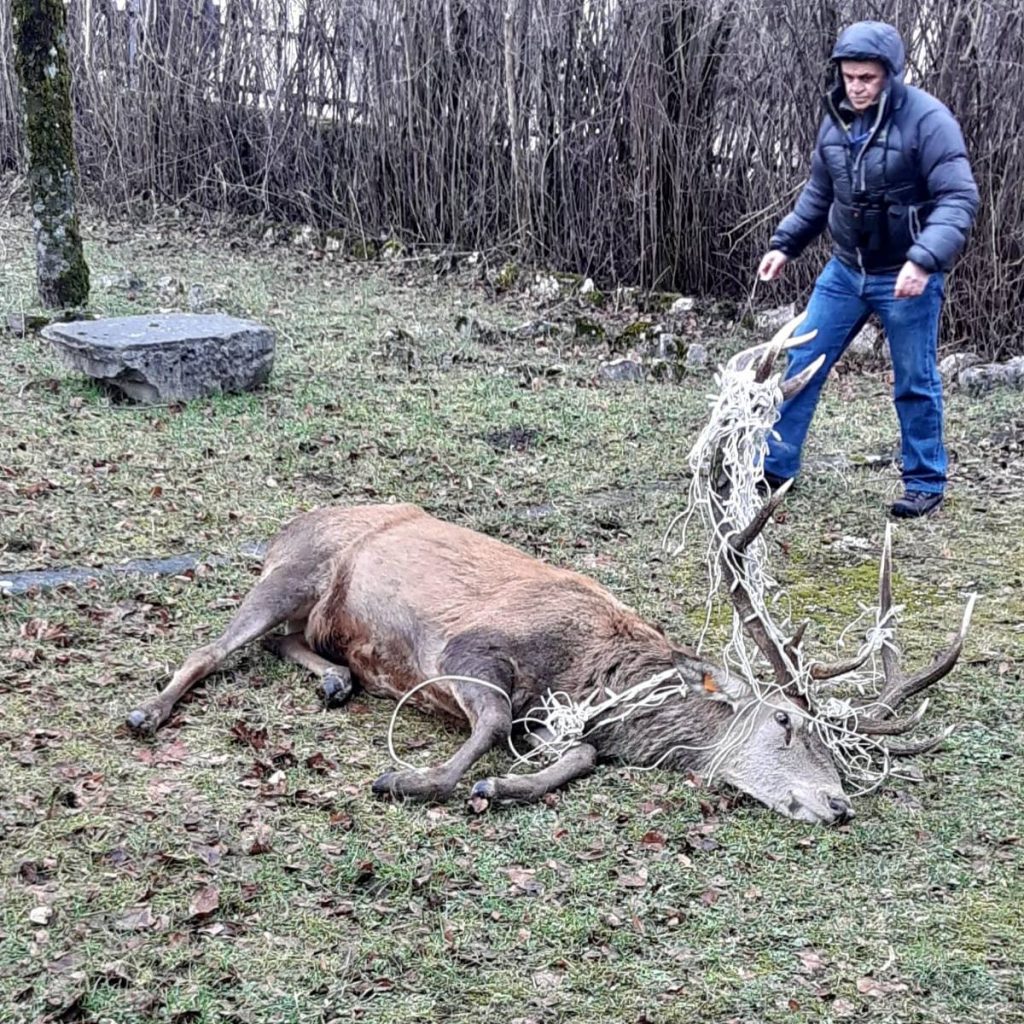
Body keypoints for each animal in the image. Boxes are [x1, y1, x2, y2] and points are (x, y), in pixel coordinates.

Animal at [126, 317, 974, 824]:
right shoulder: (465, 648)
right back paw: (147, 711)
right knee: (213, 646)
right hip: (292, 573)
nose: (838, 804)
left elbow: (582, 754)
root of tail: (286, 525)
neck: (592, 673)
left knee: (281, 643)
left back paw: (335, 678)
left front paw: (499, 786)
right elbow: (497, 721)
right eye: (787, 724)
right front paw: (415, 780)